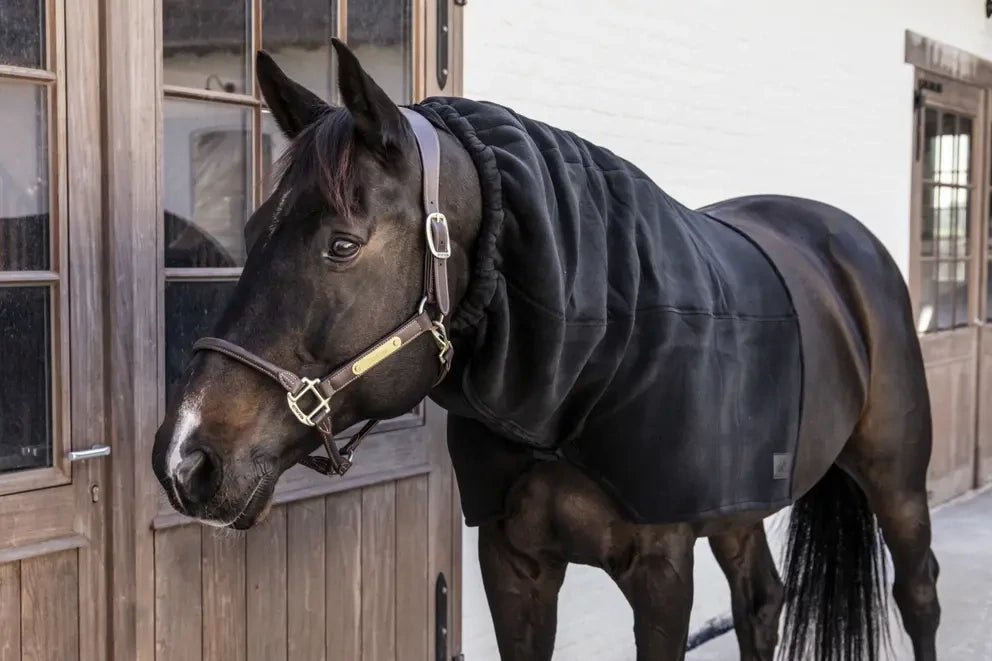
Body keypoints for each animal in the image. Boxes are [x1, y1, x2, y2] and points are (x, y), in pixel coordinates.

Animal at [152, 39, 939, 661]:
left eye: (341, 245)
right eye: (251, 230)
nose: (186, 459)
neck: (591, 367)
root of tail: (846, 241)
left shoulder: (662, 574)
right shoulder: (513, 565)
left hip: (897, 483)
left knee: (919, 595)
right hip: (740, 507)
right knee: (762, 603)